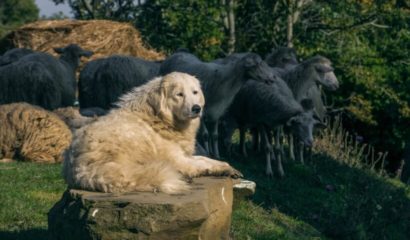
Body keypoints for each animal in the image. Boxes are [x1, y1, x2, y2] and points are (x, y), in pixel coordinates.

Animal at [63, 71, 240, 193]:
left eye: (195, 92)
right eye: (179, 94)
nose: (196, 108)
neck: (159, 118)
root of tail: (77, 168)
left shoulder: (184, 155)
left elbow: (206, 159)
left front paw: (228, 168)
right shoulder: (179, 160)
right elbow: (202, 164)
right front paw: (223, 169)